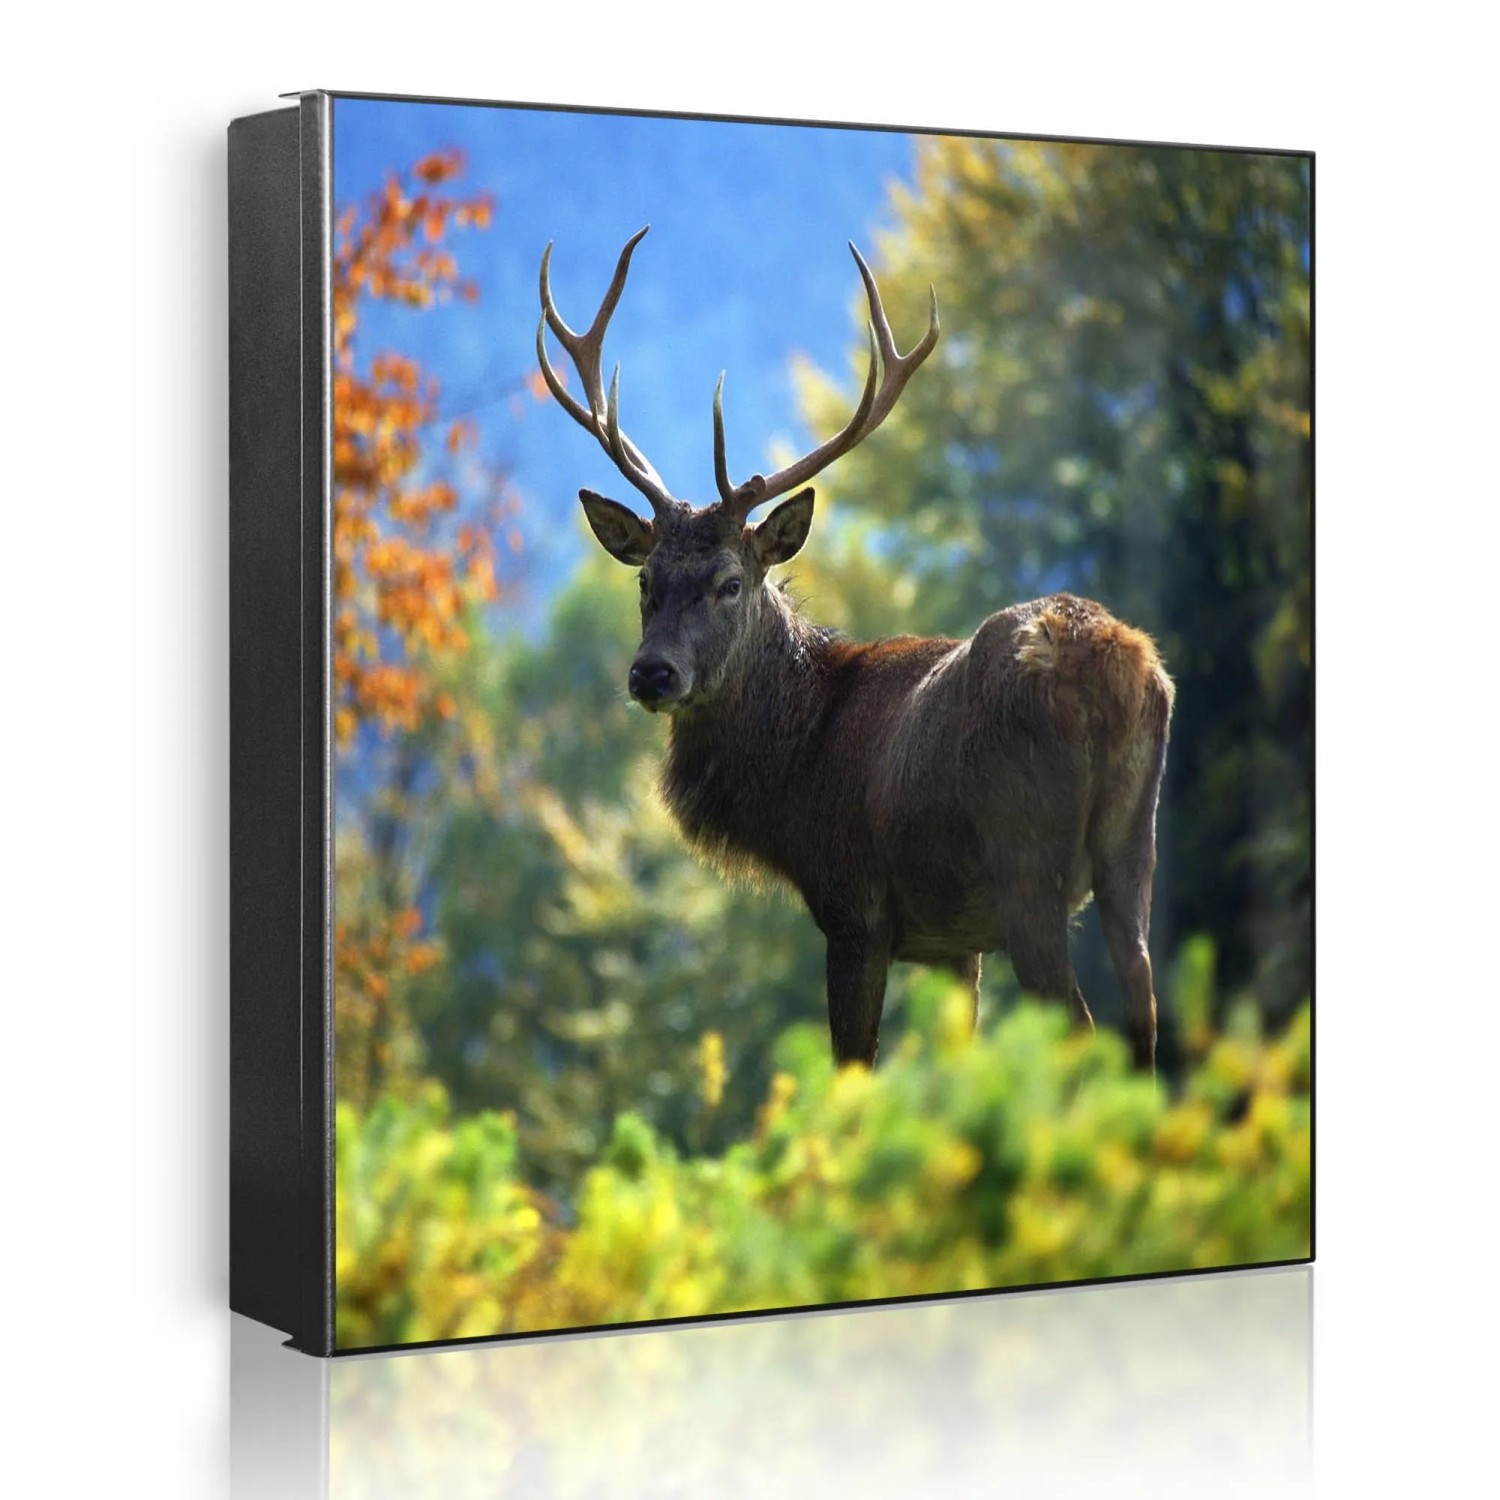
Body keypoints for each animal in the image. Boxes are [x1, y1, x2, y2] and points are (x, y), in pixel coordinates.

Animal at [536, 227, 1174, 1071]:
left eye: (730, 582)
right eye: (645, 580)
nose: (652, 672)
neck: (795, 774)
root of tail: (1118, 663)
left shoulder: (854, 905)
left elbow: (854, 1071)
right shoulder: (954, 942)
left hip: (1026, 857)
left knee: (1081, 1026)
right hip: (1135, 843)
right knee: (1143, 1014)